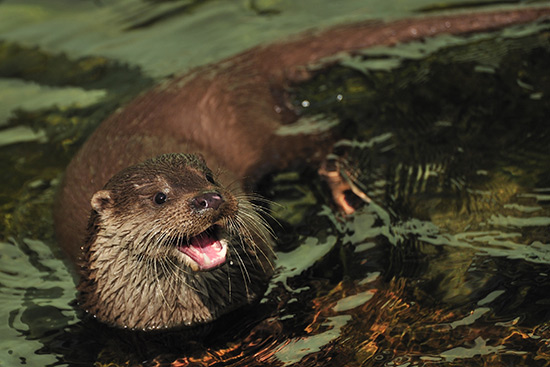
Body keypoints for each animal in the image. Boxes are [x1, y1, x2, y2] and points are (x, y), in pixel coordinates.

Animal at [55, 7, 550, 330]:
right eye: (160, 196)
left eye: (209, 176)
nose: (210, 199)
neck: (179, 315)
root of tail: (225, 69)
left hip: (265, 131)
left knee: (326, 135)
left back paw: (344, 192)